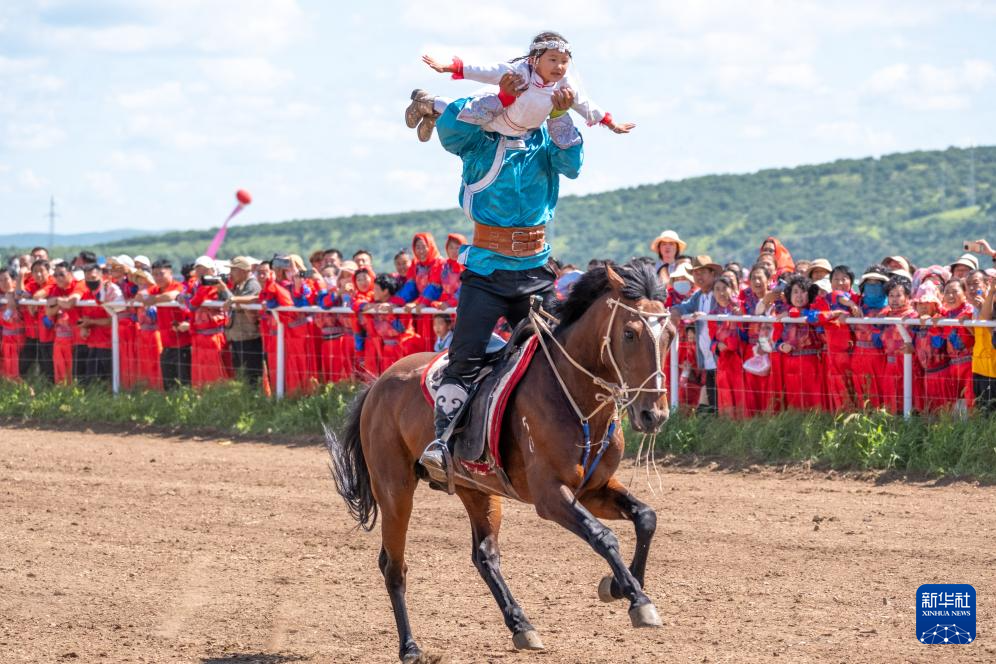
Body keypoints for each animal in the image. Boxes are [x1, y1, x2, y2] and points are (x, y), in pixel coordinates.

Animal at [327, 261, 675, 662]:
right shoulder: (550, 497)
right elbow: (603, 537)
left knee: (485, 556)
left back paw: (522, 625)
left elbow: (646, 518)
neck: (573, 394)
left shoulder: (594, 489)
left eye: (670, 335)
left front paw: (621, 585)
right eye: (631, 333)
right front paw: (638, 600)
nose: (654, 414)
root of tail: (378, 384)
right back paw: (410, 646)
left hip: (478, 490)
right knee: (393, 565)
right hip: (394, 490)